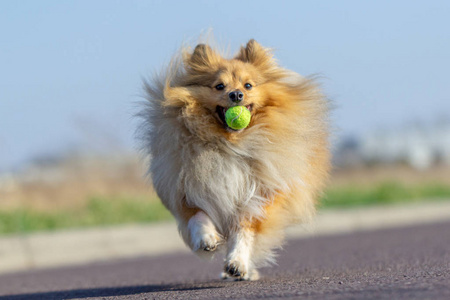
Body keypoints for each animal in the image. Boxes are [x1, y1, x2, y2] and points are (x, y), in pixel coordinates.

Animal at [138, 38, 330, 280]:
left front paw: (237, 262)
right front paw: (207, 239)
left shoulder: (262, 194)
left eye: (248, 86)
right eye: (219, 86)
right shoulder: (186, 189)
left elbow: (244, 229)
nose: (236, 95)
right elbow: (198, 215)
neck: (230, 144)